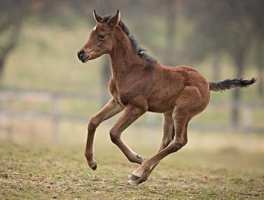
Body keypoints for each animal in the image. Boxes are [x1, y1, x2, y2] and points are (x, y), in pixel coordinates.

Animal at [77, 9, 256, 184]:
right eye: (91, 33)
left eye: (102, 35)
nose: (81, 54)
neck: (132, 70)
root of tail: (207, 84)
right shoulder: (118, 102)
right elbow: (93, 121)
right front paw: (91, 162)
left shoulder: (137, 107)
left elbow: (114, 133)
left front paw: (138, 158)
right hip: (169, 113)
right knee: (166, 140)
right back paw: (141, 176)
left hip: (182, 111)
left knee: (179, 141)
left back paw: (139, 171)